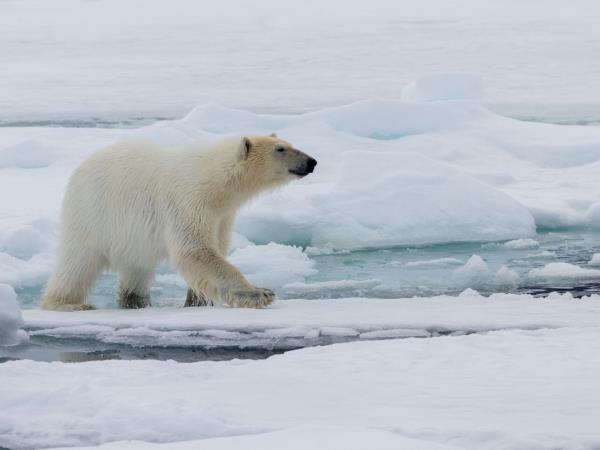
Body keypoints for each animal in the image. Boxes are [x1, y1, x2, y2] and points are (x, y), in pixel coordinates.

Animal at [40, 134, 316, 310]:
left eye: (289, 144)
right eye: (280, 149)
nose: (311, 162)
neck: (214, 179)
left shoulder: (221, 215)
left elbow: (214, 248)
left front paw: (197, 301)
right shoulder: (188, 200)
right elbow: (195, 250)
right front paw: (259, 293)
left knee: (136, 267)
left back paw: (136, 301)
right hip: (92, 215)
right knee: (76, 264)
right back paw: (68, 304)